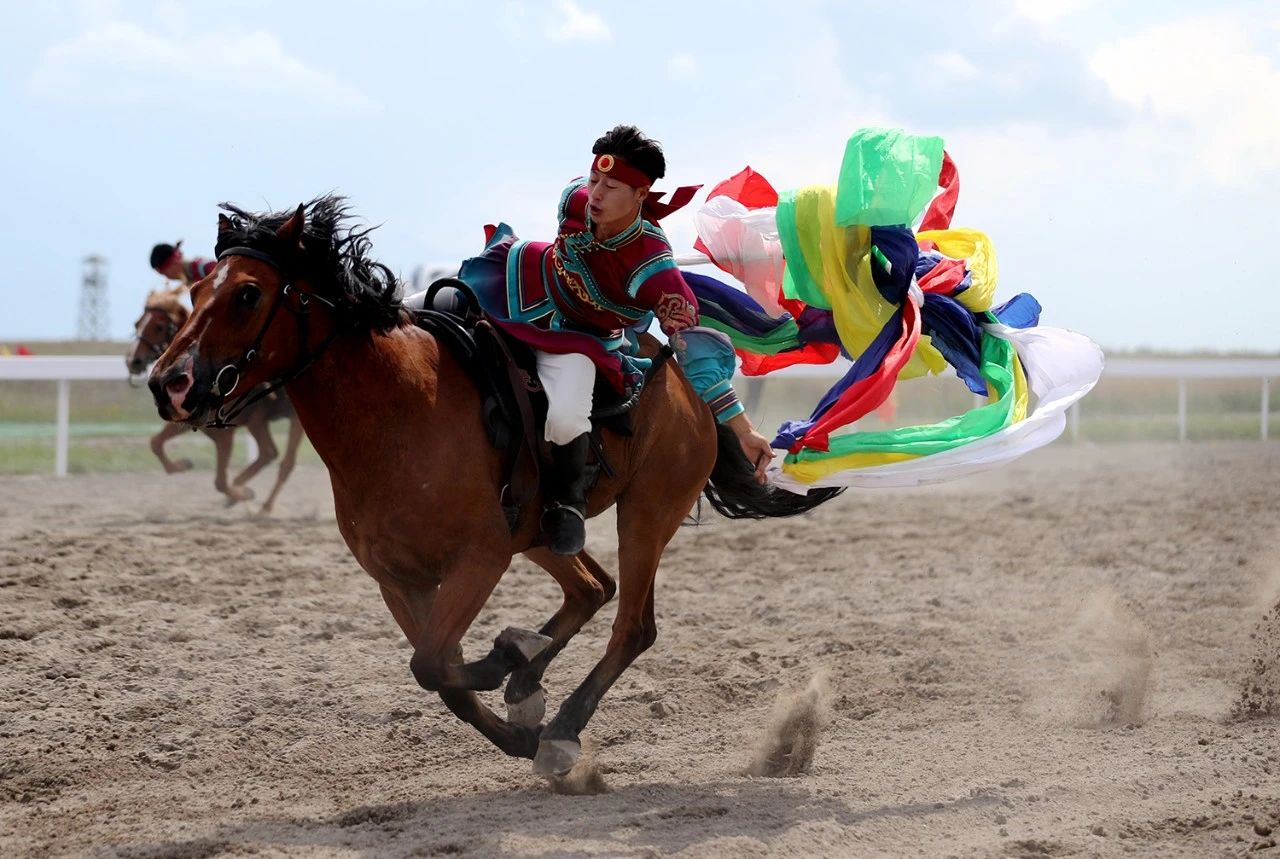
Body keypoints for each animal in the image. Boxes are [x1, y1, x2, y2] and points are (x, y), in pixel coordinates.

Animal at [126, 285, 307, 514]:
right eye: (137, 323)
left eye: (158, 327)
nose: (133, 361)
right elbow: (155, 443)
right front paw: (183, 465)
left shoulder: (225, 432)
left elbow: (220, 481)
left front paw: (241, 494)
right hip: (257, 422)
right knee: (268, 453)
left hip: (295, 421)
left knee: (285, 461)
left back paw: (264, 507)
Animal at [147, 198, 839, 778]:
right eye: (196, 289)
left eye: (247, 293)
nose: (167, 382)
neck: (399, 411)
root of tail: (691, 388)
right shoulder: (399, 579)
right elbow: (439, 674)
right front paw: (517, 718)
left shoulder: (477, 561)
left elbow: (435, 664)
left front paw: (515, 670)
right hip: (541, 532)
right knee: (593, 588)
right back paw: (531, 686)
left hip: (645, 514)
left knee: (632, 625)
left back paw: (557, 721)